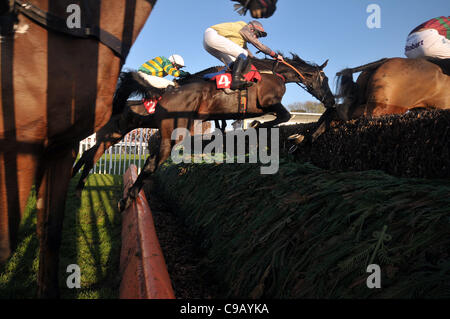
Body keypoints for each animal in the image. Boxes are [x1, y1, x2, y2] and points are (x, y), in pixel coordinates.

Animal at [73, 55, 334, 209]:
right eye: (325, 79)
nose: (331, 100)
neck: (271, 74)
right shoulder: (267, 103)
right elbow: (284, 116)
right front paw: (281, 133)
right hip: (160, 133)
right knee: (145, 162)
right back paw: (124, 196)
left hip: (119, 133)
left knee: (93, 154)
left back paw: (83, 186)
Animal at [292, 57, 450, 146]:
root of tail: (384, 61)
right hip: (385, 108)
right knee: (341, 112)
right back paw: (310, 136)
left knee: (335, 110)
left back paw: (303, 138)